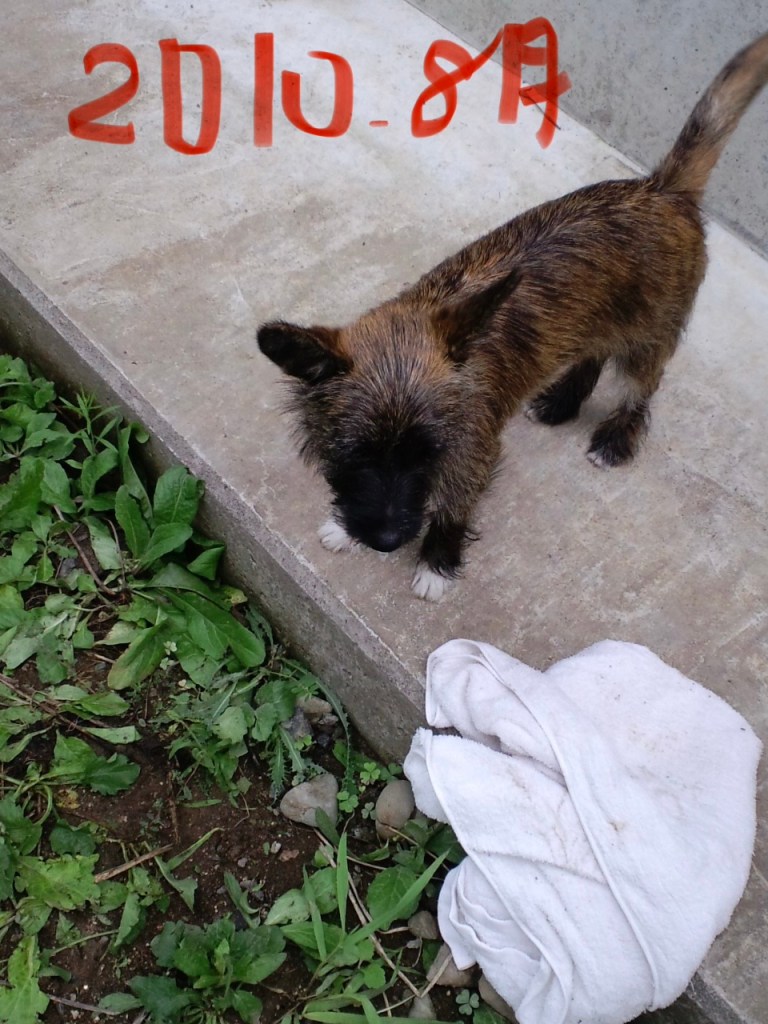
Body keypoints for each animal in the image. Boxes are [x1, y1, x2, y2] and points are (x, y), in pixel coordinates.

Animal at [258, 32, 768, 601]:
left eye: (426, 455)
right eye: (355, 456)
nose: (387, 542)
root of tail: (661, 189)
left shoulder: (472, 451)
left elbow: (455, 504)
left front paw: (437, 562)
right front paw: (347, 529)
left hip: (647, 341)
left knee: (640, 387)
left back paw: (616, 438)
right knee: (590, 354)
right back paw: (562, 402)